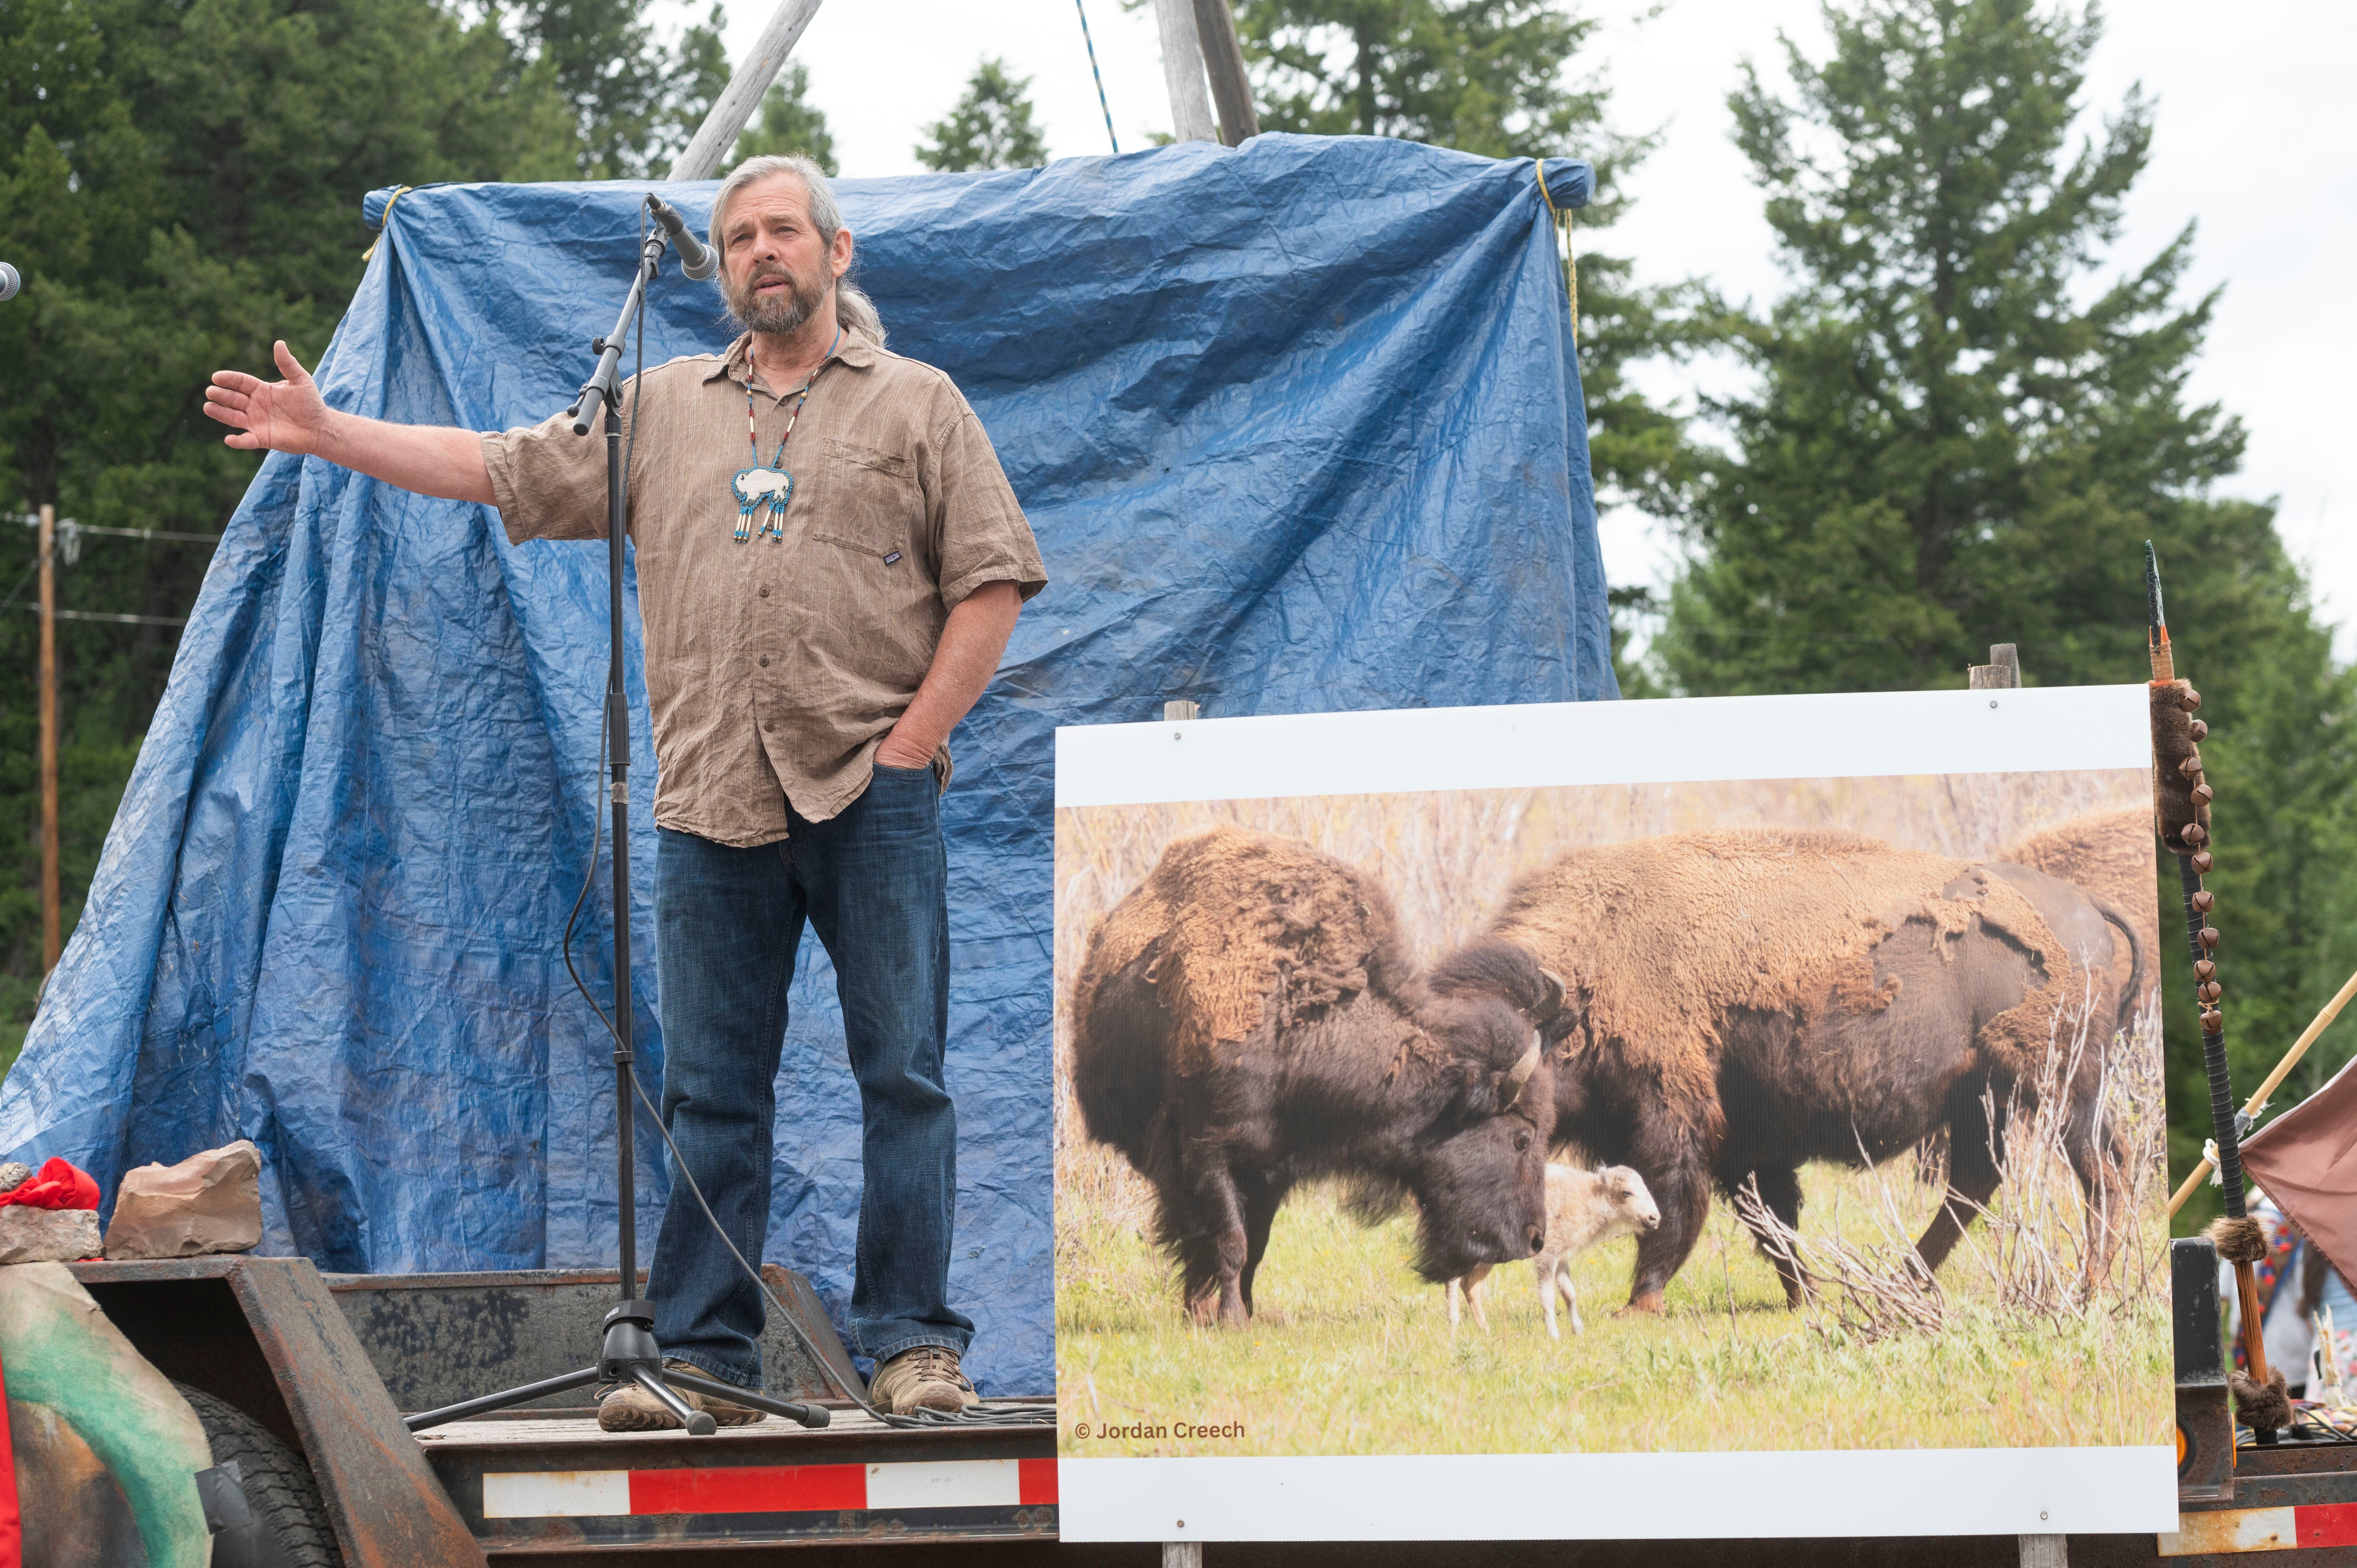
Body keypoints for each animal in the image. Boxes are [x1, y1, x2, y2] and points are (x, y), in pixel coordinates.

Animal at [1075, 825, 1565, 1330]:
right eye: (1521, 1139)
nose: (1534, 1238)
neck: (1300, 1024)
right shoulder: (1210, 1150)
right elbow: (1231, 1240)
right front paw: (1232, 1319)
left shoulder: (1271, 1169)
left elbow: (1255, 1245)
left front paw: (1247, 1311)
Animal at [1442, 1160, 1669, 1330]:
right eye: (1627, 1193)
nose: (1654, 1218)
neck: (1588, 1196)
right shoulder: (1547, 1258)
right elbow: (1547, 1296)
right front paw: (1554, 1334)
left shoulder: (1561, 1258)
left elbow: (1569, 1293)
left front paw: (1578, 1330)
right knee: (1455, 1280)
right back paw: (1454, 1324)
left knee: (1470, 1285)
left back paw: (1485, 1329)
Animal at [1490, 830, 2159, 1311]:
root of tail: (2083, 906)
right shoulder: (1746, 1143)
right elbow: (1771, 1220)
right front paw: (1804, 1298)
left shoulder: (1676, 1121)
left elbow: (1674, 1204)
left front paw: (1639, 1302)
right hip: (1992, 1100)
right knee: (1985, 1179)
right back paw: (1903, 1283)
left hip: (2058, 1087)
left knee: (2098, 1173)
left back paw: (2087, 1290)